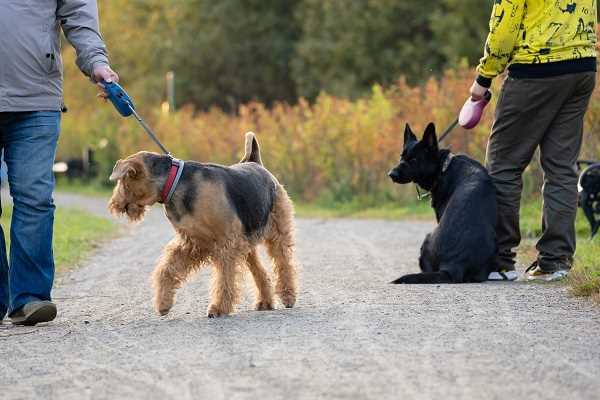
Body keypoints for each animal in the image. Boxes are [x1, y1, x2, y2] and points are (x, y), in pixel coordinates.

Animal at [107, 133, 298, 318]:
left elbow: (224, 279)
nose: (113, 205)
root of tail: (255, 162)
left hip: (277, 231)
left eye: (122, 180)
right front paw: (163, 304)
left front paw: (218, 308)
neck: (173, 184)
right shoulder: (193, 242)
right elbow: (166, 270)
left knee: (284, 263)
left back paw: (288, 296)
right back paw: (265, 302)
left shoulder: (227, 243)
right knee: (261, 272)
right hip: (247, 242)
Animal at [390, 123, 496, 282]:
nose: (391, 174)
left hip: (426, 238)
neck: (443, 167)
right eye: (401, 157)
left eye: (414, 160)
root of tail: (454, 264)